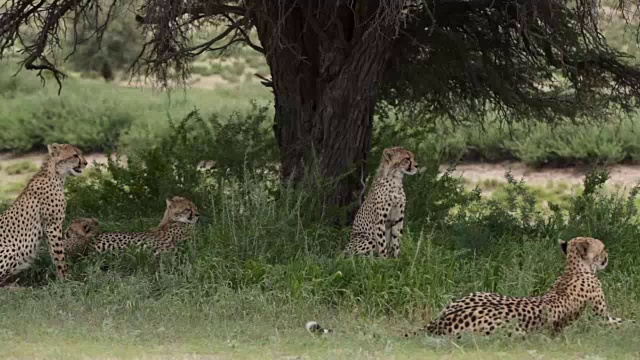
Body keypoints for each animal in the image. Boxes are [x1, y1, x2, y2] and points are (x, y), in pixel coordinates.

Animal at [0, 143, 87, 284]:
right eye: (75, 155)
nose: (85, 163)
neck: (56, 175)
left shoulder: (48, 229)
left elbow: (54, 254)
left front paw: (59, 278)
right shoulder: (53, 226)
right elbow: (59, 255)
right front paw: (65, 279)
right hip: (13, 249)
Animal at [410, 236, 624, 338]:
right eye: (603, 248)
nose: (607, 257)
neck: (575, 269)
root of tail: (440, 321)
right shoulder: (601, 319)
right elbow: (623, 322)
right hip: (516, 332)